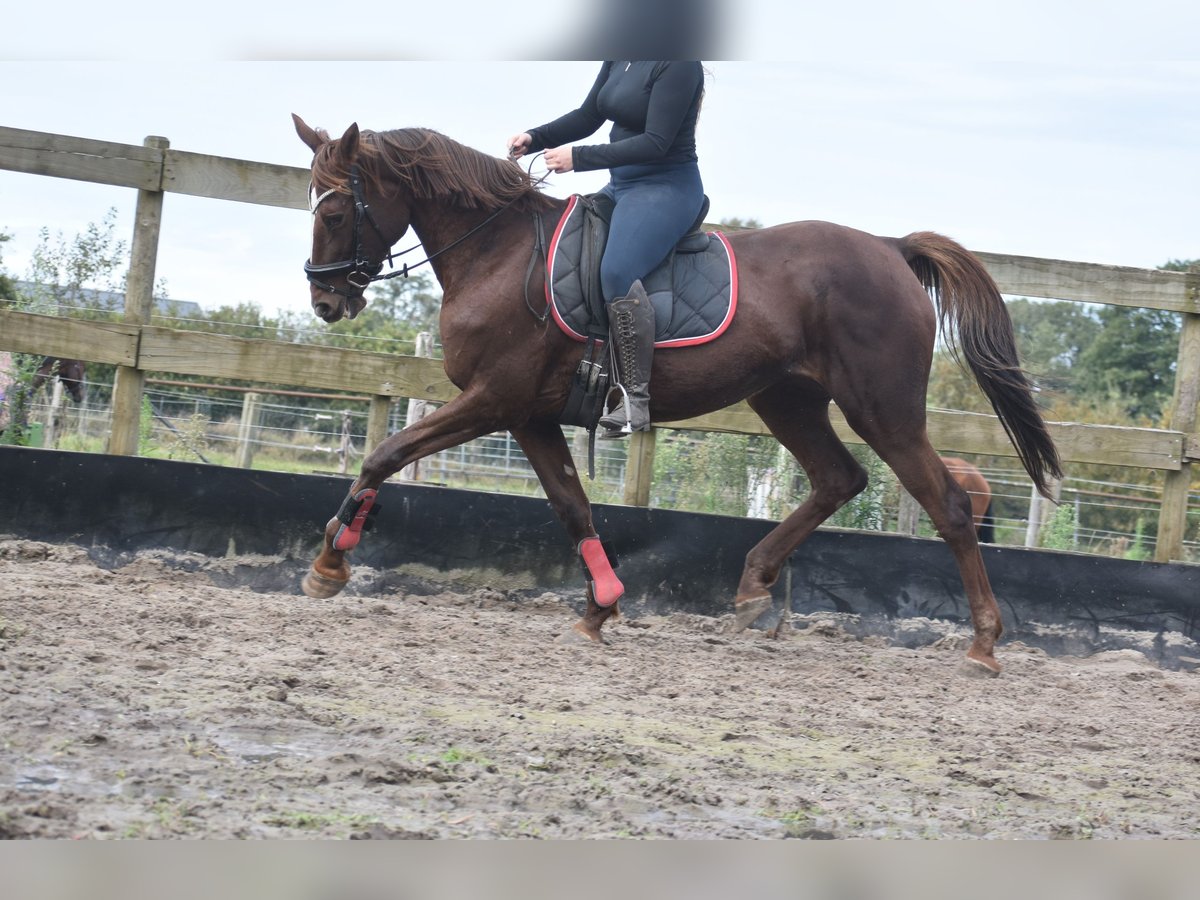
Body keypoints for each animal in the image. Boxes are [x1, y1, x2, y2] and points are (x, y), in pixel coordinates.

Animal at [290, 116, 1060, 672]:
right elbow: (571, 506)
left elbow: (386, 454)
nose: (325, 300)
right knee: (839, 479)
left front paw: (330, 563)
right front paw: (600, 608)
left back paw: (983, 644)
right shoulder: (530, 416)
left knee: (948, 506)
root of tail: (890, 248)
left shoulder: (493, 399)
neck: (498, 254)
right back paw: (753, 587)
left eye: (335, 211)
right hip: (786, 399)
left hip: (884, 408)